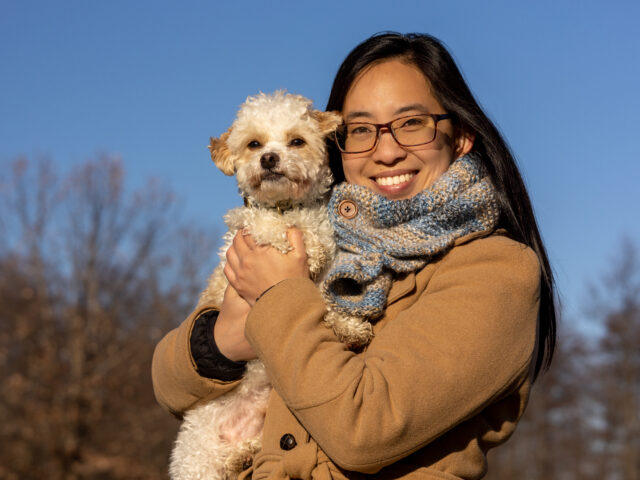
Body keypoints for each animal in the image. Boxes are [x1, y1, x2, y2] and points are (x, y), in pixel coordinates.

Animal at [168, 93, 372, 480]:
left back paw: (242, 455)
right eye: (254, 144)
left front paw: (349, 327)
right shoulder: (247, 230)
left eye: (296, 141)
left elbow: (325, 304)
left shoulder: (320, 279)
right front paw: (309, 249)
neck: (287, 206)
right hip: (197, 457)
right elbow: (275, 229)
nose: (269, 159)